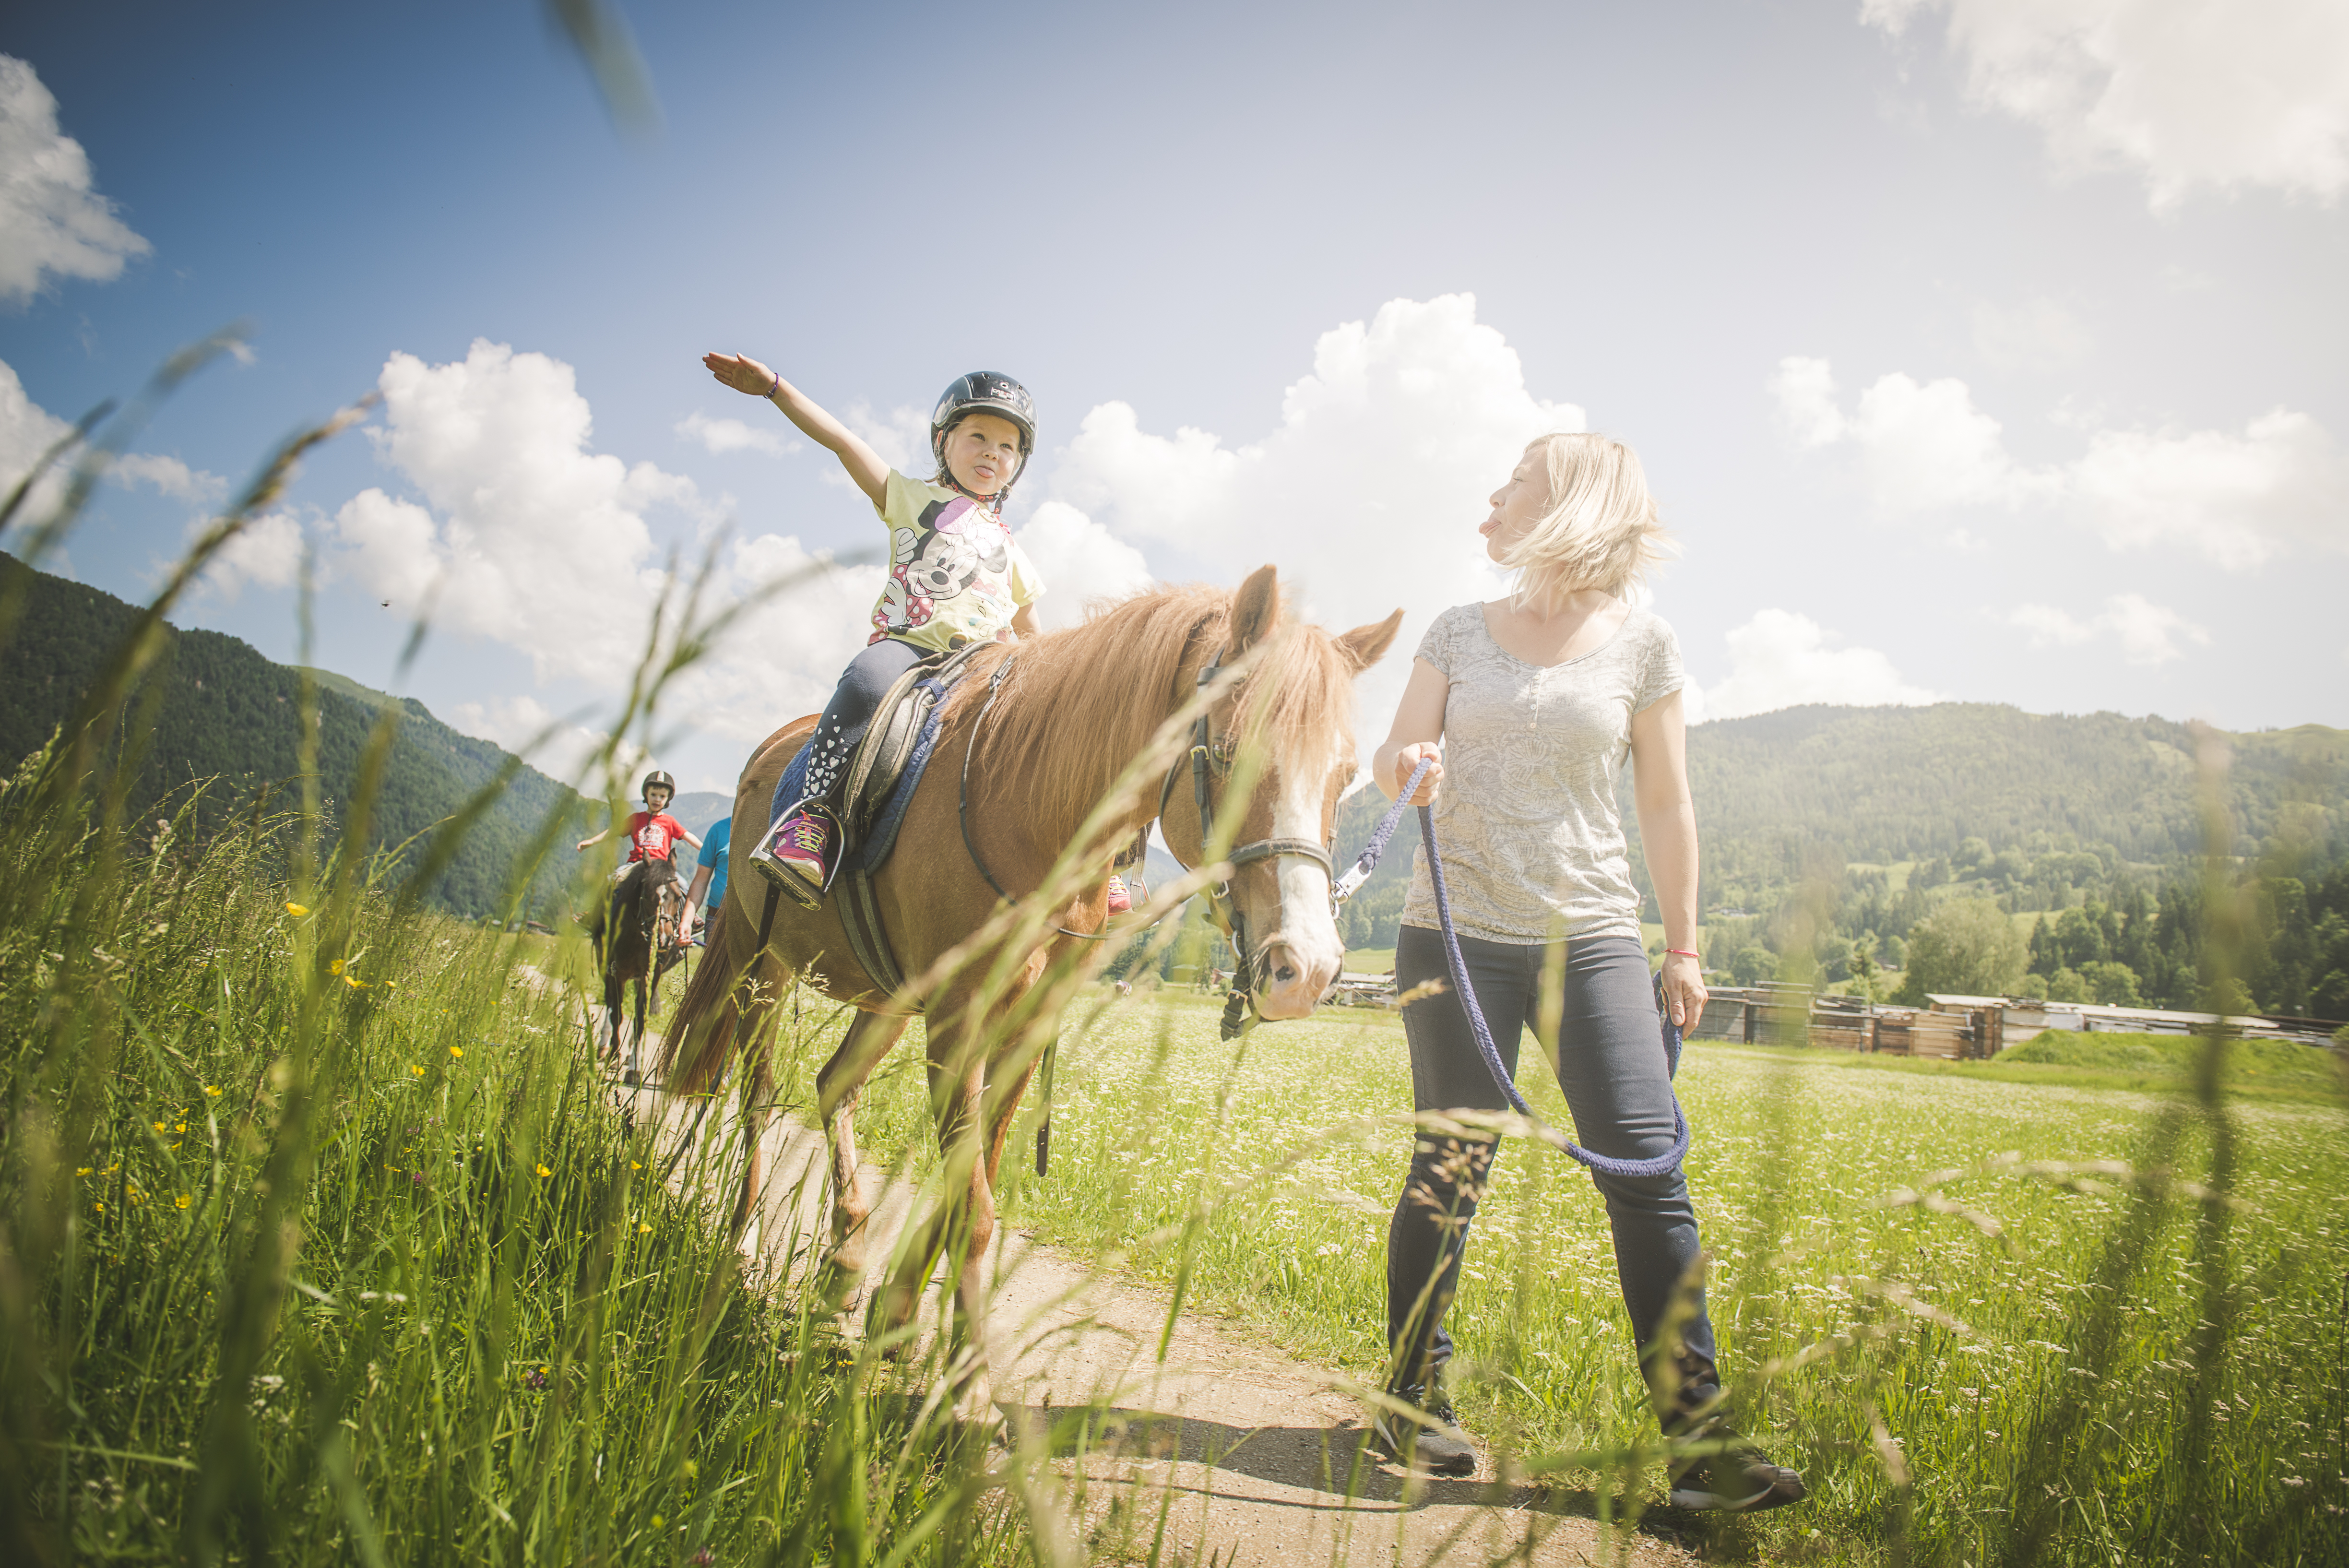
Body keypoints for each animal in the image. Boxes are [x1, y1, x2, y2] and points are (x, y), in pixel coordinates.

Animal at [657, 571, 1390, 1420]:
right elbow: (972, 1210)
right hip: (761, 961)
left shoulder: (1025, 1026)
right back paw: (741, 1245)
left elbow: (967, 1180)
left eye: (1345, 777)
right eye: (1233, 754)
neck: (1032, 813)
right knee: (757, 1097)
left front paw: (899, 1317)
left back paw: (845, 1262)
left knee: (833, 1084)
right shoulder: (958, 1020)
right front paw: (969, 1389)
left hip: (885, 1001)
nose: (1307, 967)